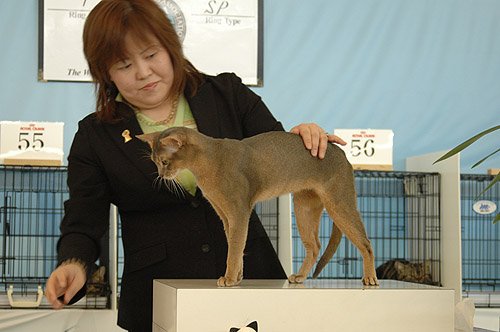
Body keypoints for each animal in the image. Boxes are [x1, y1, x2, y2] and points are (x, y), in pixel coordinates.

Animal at [137, 127, 378, 288]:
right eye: (155, 162)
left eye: (164, 162)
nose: (161, 175)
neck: (208, 161)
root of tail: (341, 153)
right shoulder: (226, 216)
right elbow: (236, 246)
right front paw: (238, 277)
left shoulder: (239, 212)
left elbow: (234, 249)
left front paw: (229, 278)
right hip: (304, 208)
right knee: (315, 246)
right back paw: (300, 277)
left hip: (339, 203)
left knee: (366, 243)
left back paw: (370, 278)